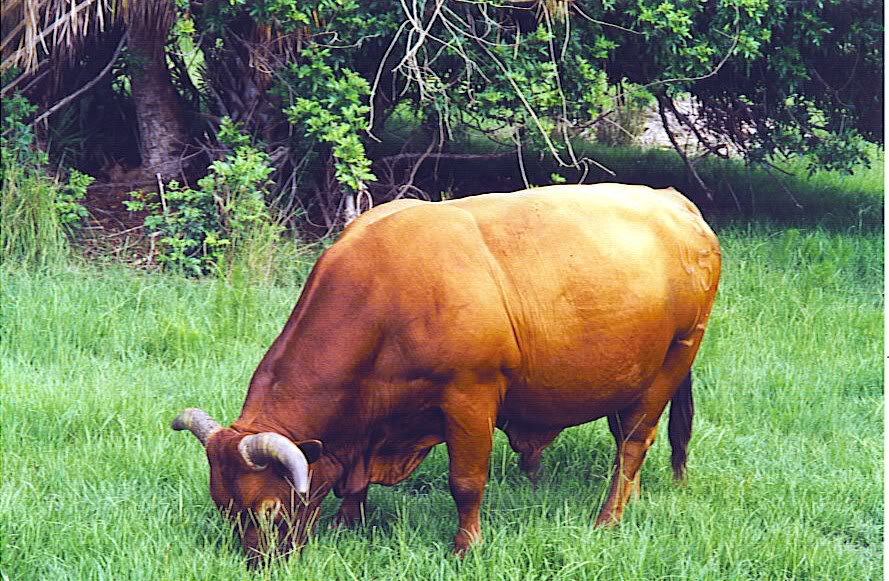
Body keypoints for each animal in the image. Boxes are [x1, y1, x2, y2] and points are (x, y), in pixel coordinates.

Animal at [172, 183, 721, 563]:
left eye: (268, 509)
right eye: (223, 505)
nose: (259, 563)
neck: (384, 293)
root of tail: (675, 203)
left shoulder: (470, 397)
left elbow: (466, 481)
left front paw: (465, 546)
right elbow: (352, 484)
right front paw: (347, 524)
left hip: (676, 357)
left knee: (633, 442)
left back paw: (608, 519)